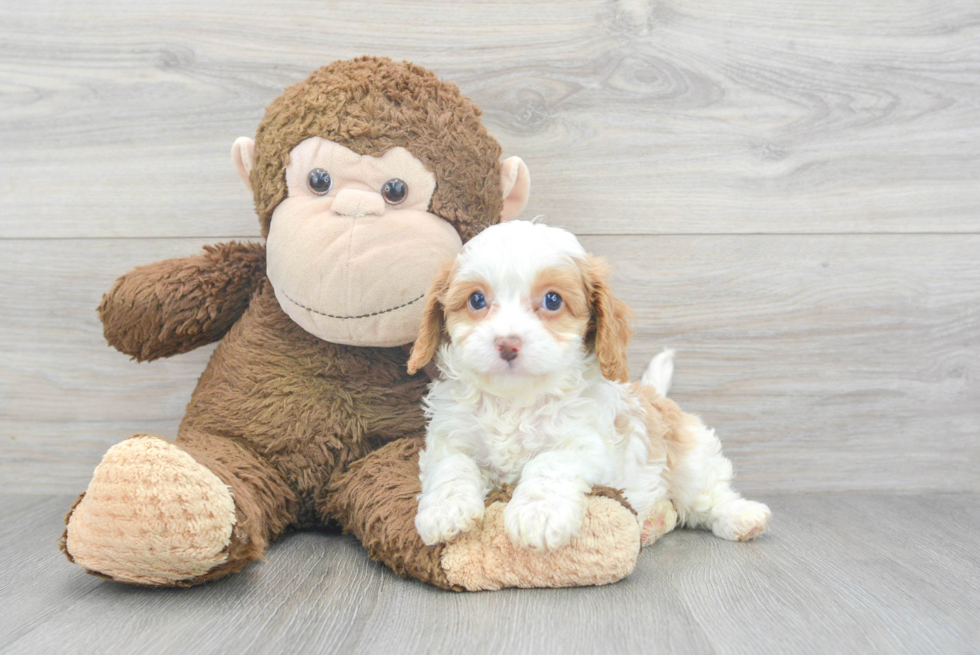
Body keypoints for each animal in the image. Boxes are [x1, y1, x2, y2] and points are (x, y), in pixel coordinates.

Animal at [406, 222, 772, 552]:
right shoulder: (448, 439)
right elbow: (452, 466)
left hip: (690, 459)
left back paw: (740, 516)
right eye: (477, 300)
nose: (507, 343)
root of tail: (655, 394)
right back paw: (651, 524)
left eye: (553, 300)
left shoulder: (587, 444)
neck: (516, 401)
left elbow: (549, 463)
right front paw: (445, 510)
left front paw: (538, 514)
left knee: (706, 497)